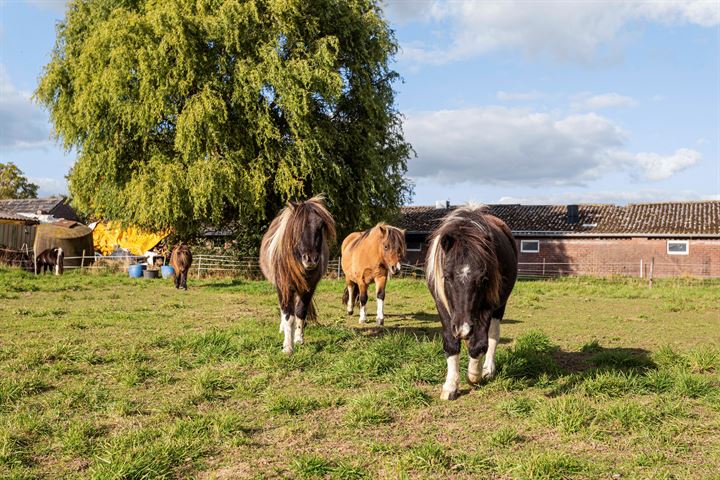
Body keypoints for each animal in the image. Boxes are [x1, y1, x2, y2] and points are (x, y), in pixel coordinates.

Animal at [260, 193, 336, 354]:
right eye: (298, 227)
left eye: (321, 226)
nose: (311, 259)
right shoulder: (284, 286)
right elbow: (288, 316)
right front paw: (288, 347)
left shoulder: (308, 288)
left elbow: (300, 313)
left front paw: (299, 339)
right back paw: (282, 329)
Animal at [424, 203, 516, 402]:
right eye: (447, 277)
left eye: (483, 279)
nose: (463, 328)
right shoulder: (442, 306)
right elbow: (451, 344)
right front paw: (451, 386)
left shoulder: (487, 307)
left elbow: (480, 344)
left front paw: (474, 375)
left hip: (499, 307)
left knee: (493, 336)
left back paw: (487, 369)